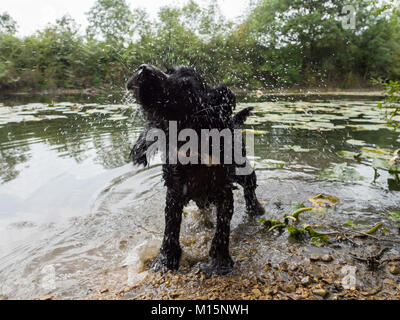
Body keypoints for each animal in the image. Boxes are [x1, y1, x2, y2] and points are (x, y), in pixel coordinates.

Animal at [126, 65, 264, 276]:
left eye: (186, 84)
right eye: (168, 70)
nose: (143, 68)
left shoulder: (224, 192)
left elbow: (222, 232)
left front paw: (219, 263)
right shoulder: (174, 192)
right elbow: (170, 229)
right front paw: (165, 260)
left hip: (242, 171)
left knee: (250, 186)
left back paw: (255, 208)